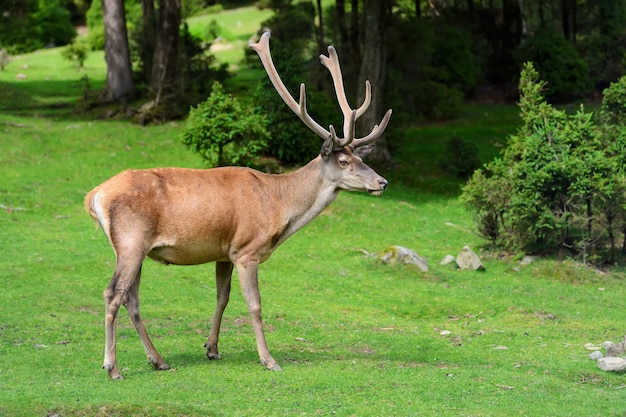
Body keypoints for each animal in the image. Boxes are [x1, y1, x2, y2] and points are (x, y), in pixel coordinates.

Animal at [84, 30, 390, 378]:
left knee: (131, 298)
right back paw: (112, 366)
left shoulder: (224, 251)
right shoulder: (247, 249)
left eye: (360, 158)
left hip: (133, 248)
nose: (382, 182)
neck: (279, 206)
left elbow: (222, 297)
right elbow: (254, 304)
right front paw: (269, 359)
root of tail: (95, 195)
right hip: (131, 241)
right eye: (343, 161)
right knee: (112, 293)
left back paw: (158, 359)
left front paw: (212, 348)